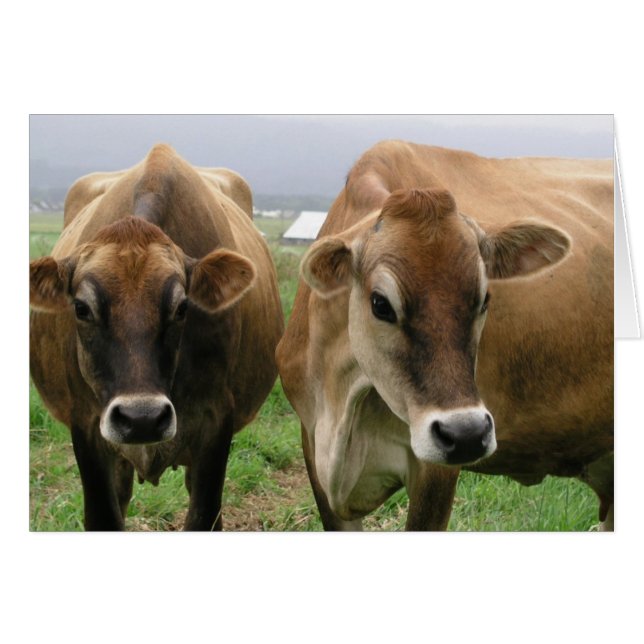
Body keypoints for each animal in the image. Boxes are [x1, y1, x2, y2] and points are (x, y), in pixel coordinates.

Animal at [30, 144, 284, 531]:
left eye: (182, 307)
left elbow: (203, 517)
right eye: (81, 308)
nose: (142, 418)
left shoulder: (216, 422)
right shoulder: (85, 424)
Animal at [276, 140, 613, 531]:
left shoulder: (434, 470)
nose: (467, 433)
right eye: (380, 304)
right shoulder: (313, 447)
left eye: (484, 298)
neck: (343, 399)